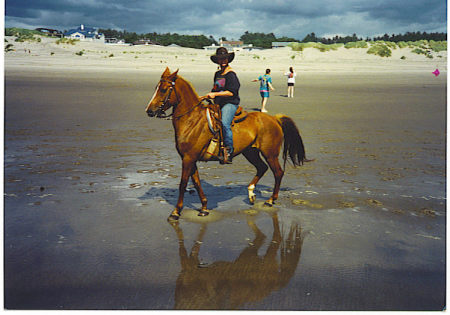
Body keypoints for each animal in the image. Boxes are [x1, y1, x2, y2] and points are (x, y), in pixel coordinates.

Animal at [146, 68, 308, 222]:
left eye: (163, 89)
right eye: (155, 88)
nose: (149, 111)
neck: (192, 121)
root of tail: (275, 119)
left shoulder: (188, 158)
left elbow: (183, 184)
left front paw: (176, 212)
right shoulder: (190, 159)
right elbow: (197, 183)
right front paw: (204, 208)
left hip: (270, 154)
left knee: (278, 172)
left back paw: (270, 200)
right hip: (250, 152)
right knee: (262, 168)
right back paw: (251, 193)